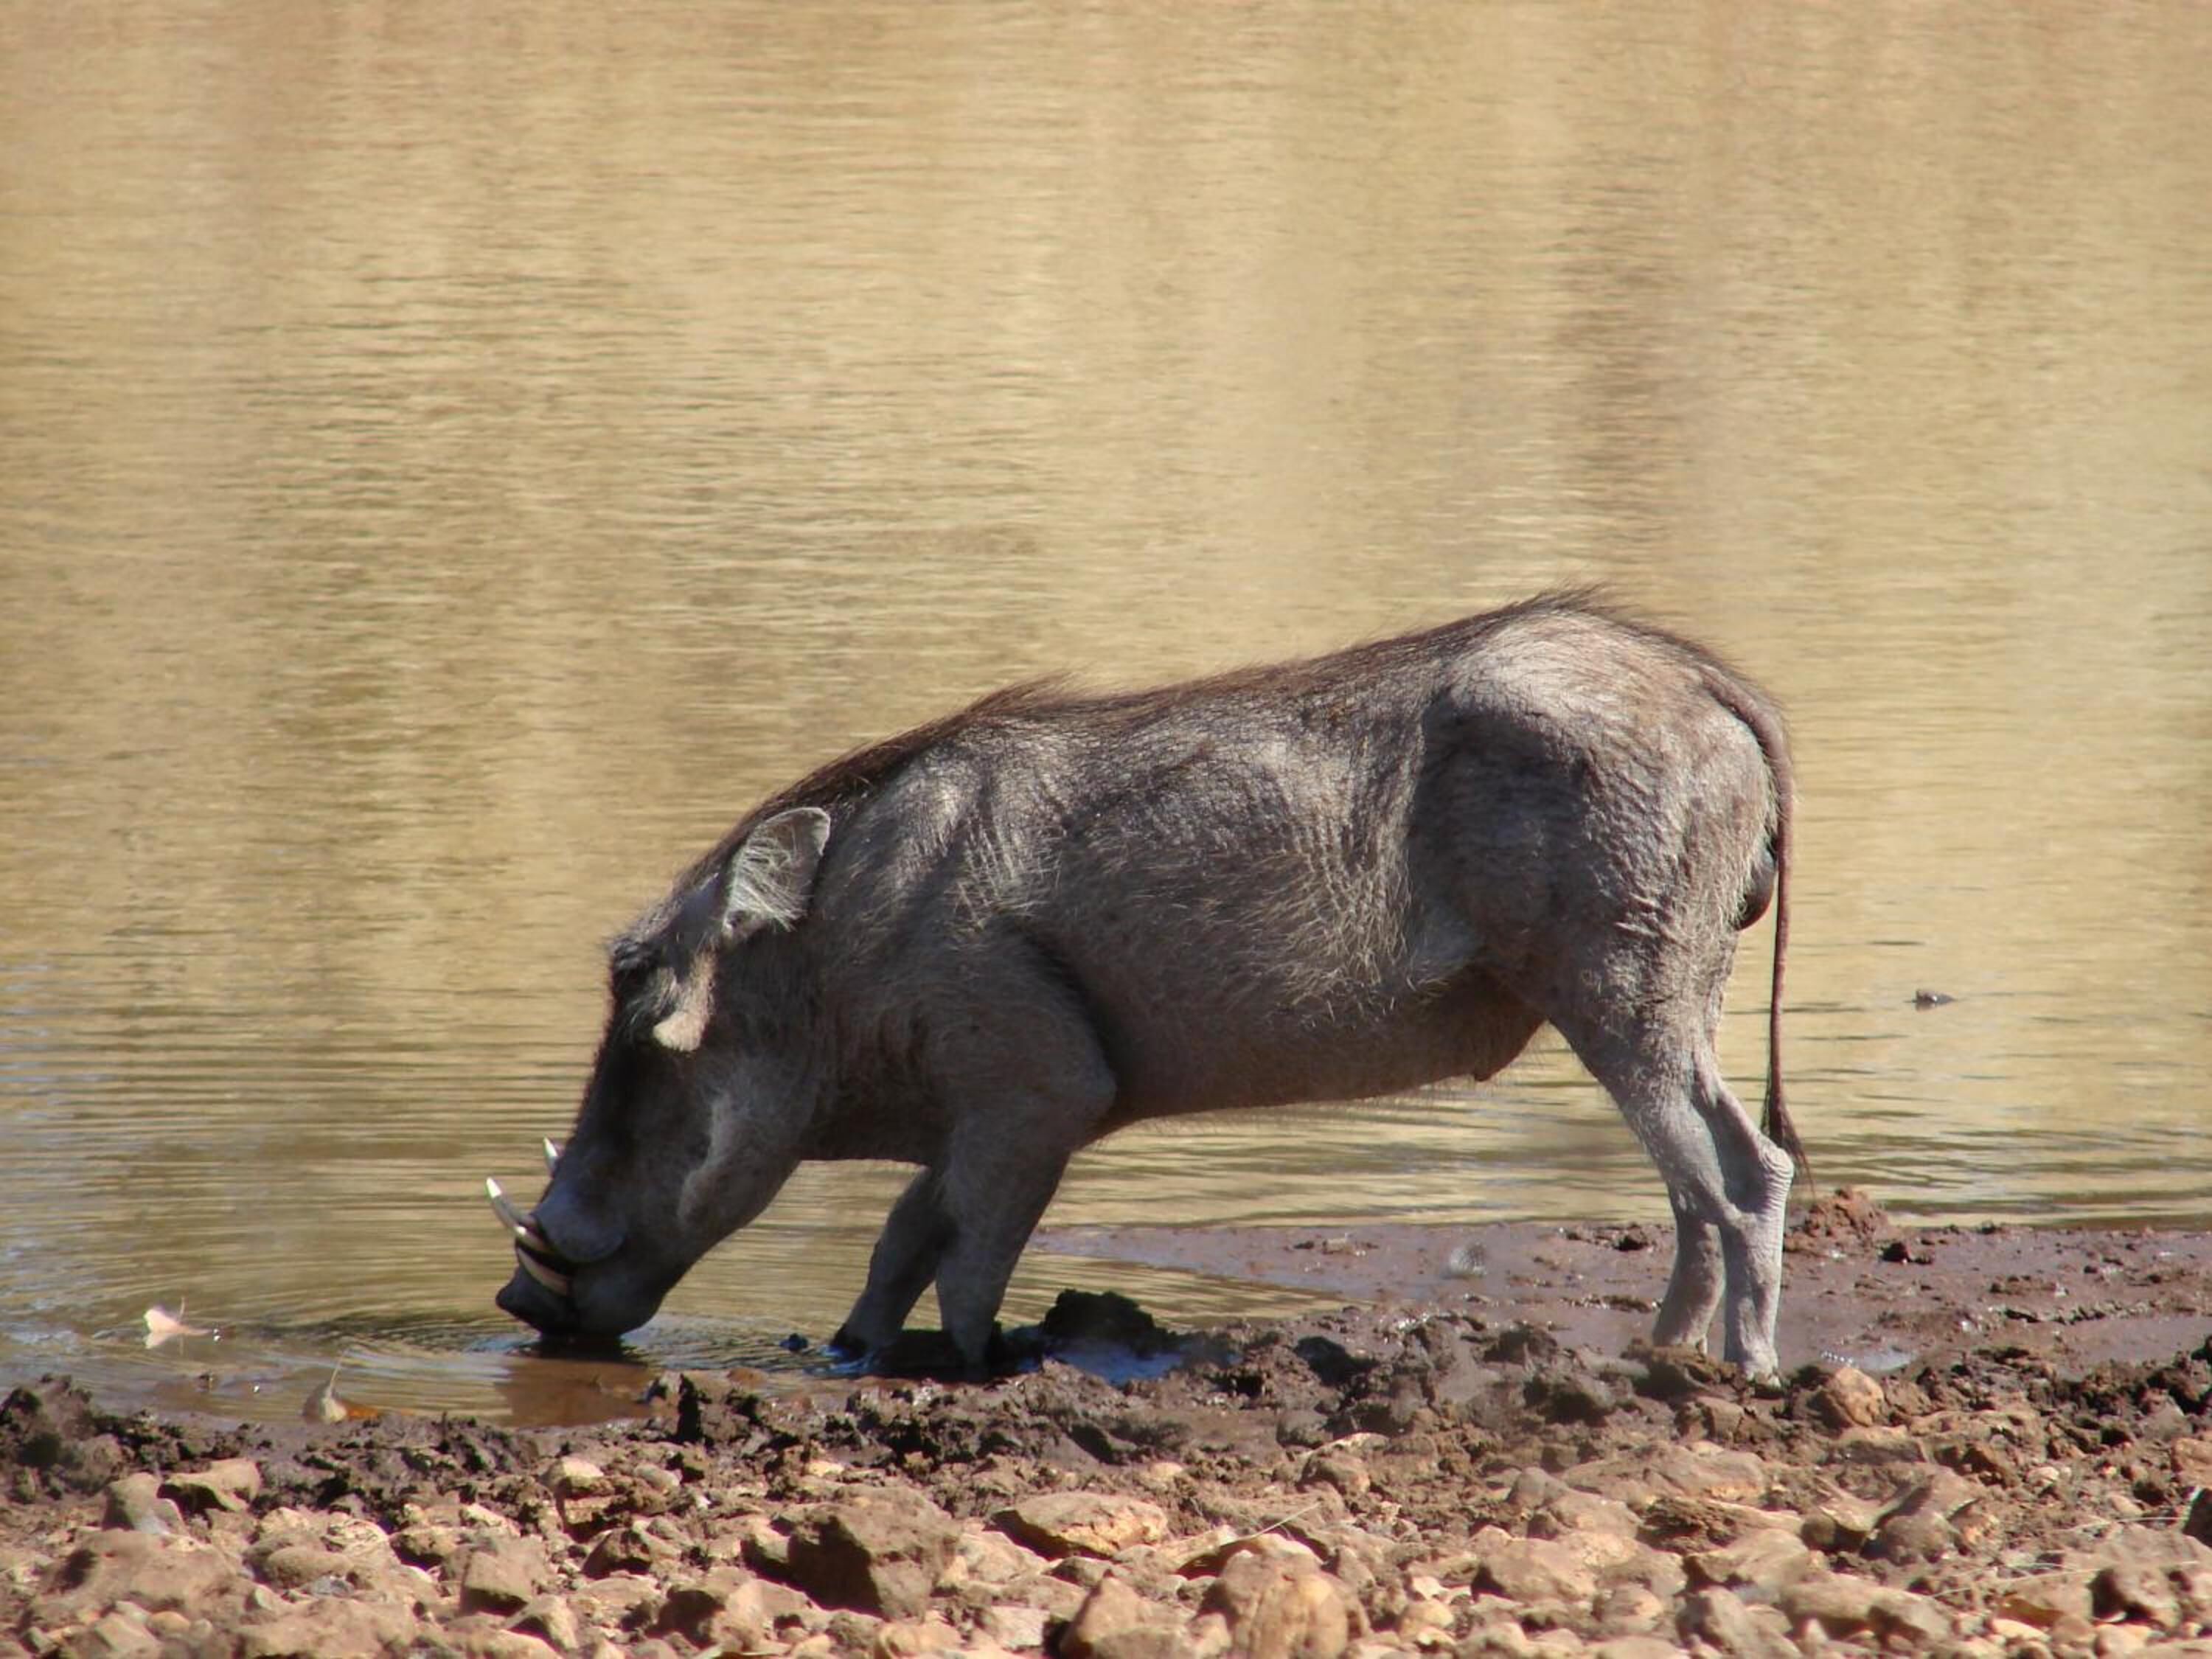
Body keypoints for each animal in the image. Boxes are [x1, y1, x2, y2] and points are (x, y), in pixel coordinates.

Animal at [492, 592, 1804, 1376]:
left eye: (645, 1007)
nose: (516, 1300)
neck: (837, 950)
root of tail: (1703, 682)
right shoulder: (976, 1108)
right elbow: (909, 1231)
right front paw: (855, 1351)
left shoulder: (1038, 1091)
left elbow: (970, 1253)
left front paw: (975, 1368)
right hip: (1678, 992)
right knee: (1701, 1183)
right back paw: (1655, 1360)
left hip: (1623, 989)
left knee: (1742, 1173)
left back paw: (1741, 1372)